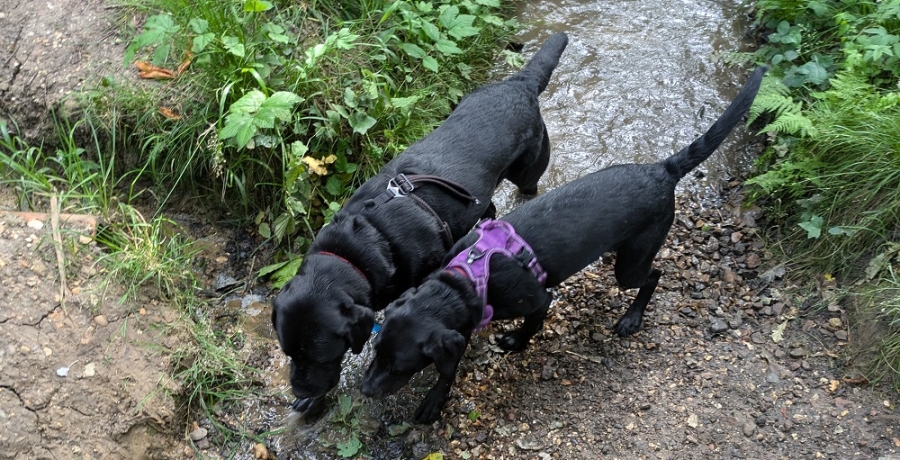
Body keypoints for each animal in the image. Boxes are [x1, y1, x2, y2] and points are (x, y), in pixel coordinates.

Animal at [268, 32, 568, 416]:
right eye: (289, 353)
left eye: (321, 356)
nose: (298, 388)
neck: (356, 249)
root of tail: (519, 84)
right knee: (488, 206)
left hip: (527, 172)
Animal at [358, 66, 768, 422]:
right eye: (376, 352)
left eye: (400, 365)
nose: (366, 390)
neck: (467, 276)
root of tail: (661, 170)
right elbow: (452, 361)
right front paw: (436, 397)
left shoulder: (538, 300)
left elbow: (527, 329)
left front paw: (512, 344)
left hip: (631, 264)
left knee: (654, 276)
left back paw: (632, 318)